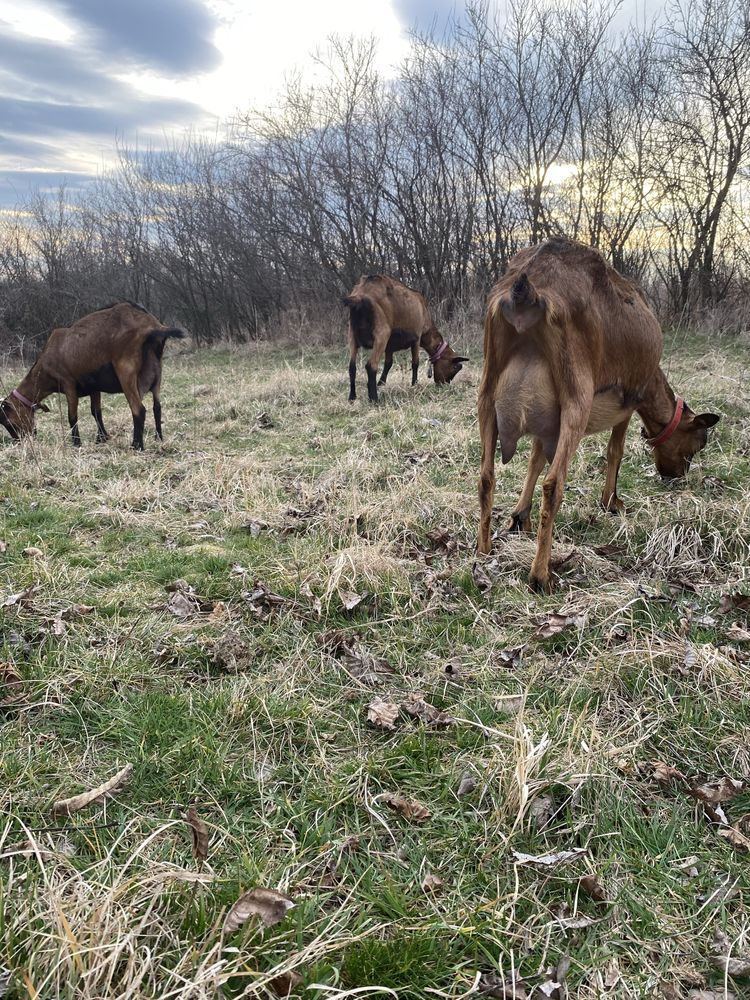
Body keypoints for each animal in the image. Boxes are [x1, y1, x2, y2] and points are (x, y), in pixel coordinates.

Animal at [0, 300, 187, 450]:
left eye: (8, 421)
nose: (20, 442)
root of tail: (153, 326)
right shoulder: (94, 387)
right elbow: (96, 412)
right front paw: (102, 438)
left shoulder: (68, 383)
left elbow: (72, 415)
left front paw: (77, 443)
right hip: (157, 373)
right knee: (157, 407)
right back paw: (159, 438)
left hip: (126, 371)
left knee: (138, 409)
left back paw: (136, 445)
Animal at [346, 276, 470, 404]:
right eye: (455, 367)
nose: (444, 385)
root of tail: (360, 295)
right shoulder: (416, 338)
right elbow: (415, 363)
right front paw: (414, 384)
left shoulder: (389, 346)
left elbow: (388, 363)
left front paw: (381, 384)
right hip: (382, 333)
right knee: (371, 366)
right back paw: (374, 399)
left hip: (352, 334)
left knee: (352, 367)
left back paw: (352, 397)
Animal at [478, 237, 720, 588]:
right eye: (700, 441)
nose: (676, 476)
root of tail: (527, 290)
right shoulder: (628, 402)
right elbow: (614, 451)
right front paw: (611, 502)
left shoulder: (550, 422)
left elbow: (535, 459)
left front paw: (519, 516)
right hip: (576, 398)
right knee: (554, 484)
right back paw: (540, 575)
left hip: (487, 389)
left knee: (486, 476)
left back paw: (483, 551)